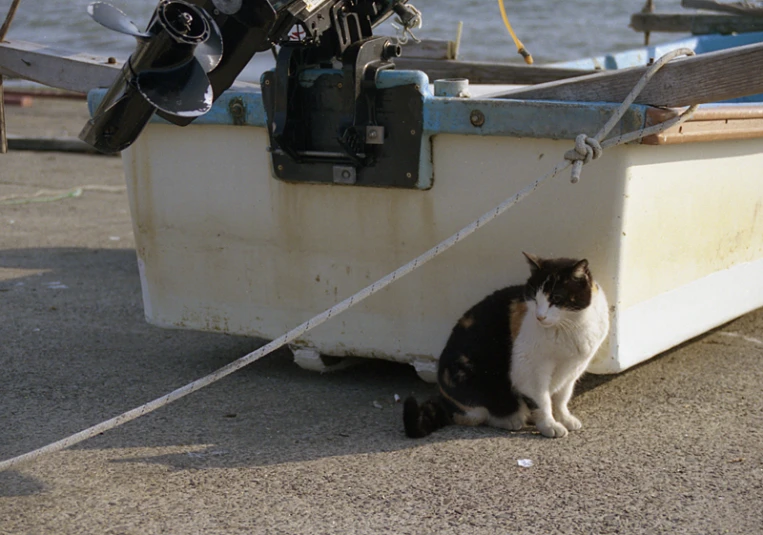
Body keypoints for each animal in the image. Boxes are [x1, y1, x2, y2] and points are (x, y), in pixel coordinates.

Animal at [406, 254, 608, 440]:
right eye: (534, 298)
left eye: (556, 298)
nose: (540, 316)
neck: (570, 328)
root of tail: (443, 398)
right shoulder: (530, 371)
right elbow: (542, 401)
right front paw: (549, 425)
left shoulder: (572, 370)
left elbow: (561, 398)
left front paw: (564, 418)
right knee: (474, 416)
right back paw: (513, 419)